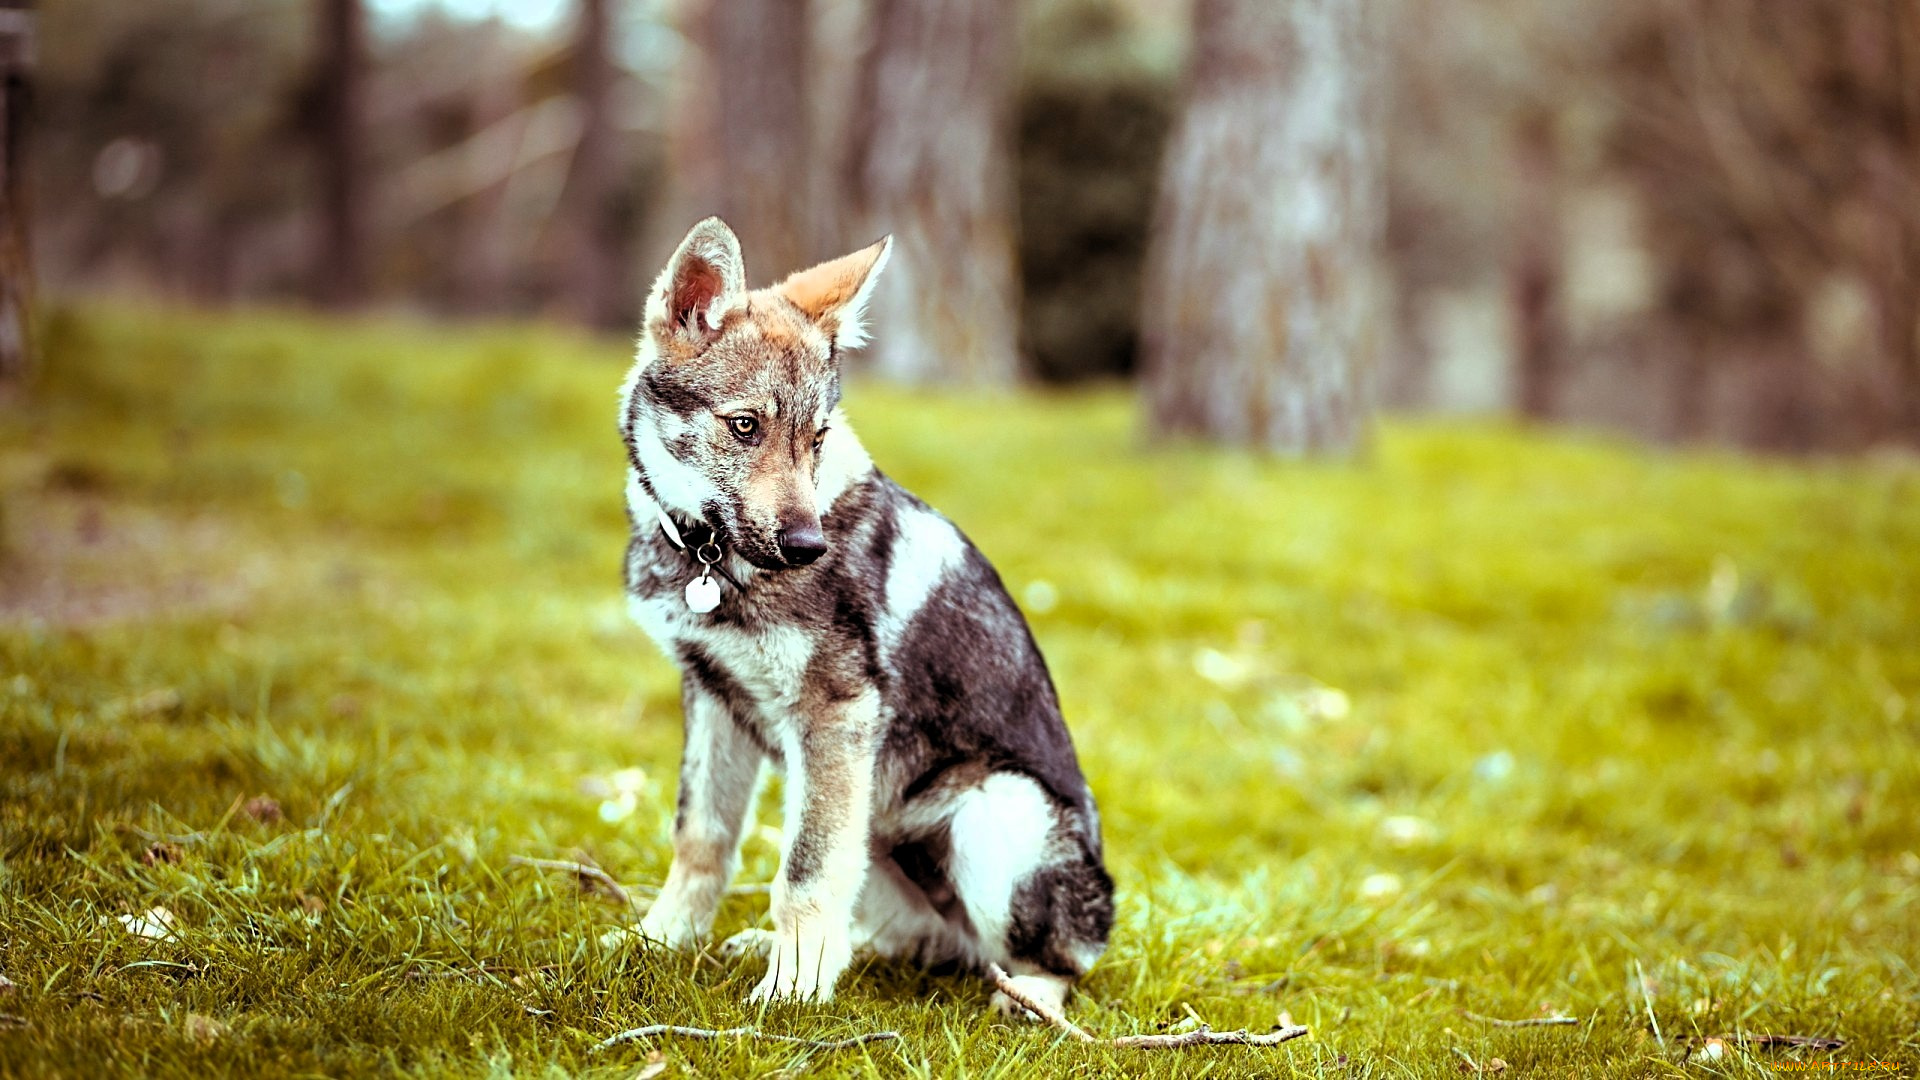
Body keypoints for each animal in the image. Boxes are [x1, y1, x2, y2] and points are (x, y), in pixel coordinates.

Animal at [618, 216, 1113, 1006]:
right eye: (746, 426)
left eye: (816, 439)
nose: (807, 545)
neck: (708, 561)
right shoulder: (712, 696)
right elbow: (702, 838)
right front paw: (659, 941)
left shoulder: (835, 715)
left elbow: (804, 873)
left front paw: (789, 994)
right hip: (880, 834)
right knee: (911, 940)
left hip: (995, 815)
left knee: (1059, 961)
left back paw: (1030, 999)